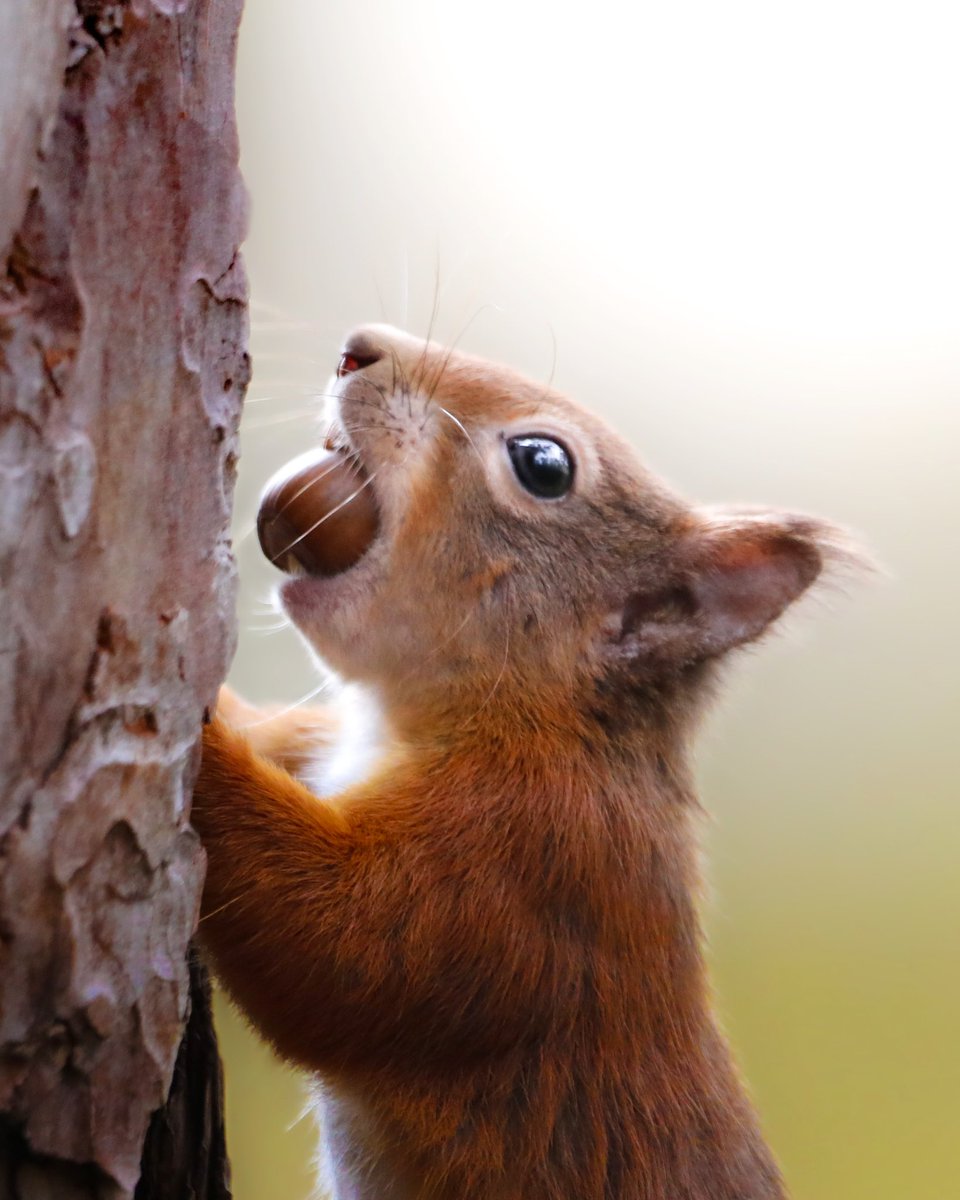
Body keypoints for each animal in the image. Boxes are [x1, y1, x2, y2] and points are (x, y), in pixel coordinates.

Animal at [191, 324, 858, 1200]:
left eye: (544, 465)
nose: (358, 348)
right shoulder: (318, 742)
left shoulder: (534, 857)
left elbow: (347, 947)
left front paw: (179, 729)